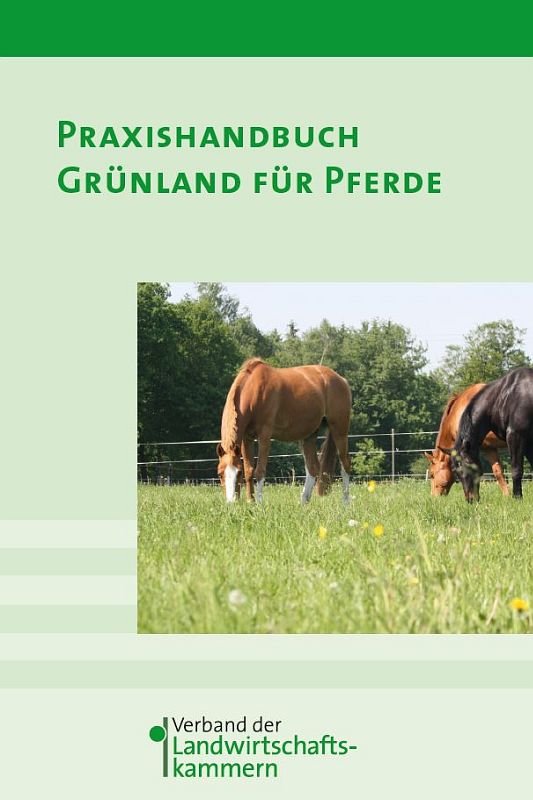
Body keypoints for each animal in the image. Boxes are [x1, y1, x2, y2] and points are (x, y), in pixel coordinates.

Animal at [216, 358, 352, 504]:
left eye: (238, 473)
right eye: (220, 473)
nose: (231, 502)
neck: (253, 390)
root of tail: (341, 379)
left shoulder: (264, 435)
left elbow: (259, 471)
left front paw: (259, 503)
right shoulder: (247, 438)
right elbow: (249, 471)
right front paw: (250, 501)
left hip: (339, 429)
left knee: (345, 464)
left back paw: (346, 502)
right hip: (310, 434)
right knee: (313, 467)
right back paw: (303, 501)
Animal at [440, 367, 533, 502]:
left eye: (468, 466)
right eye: (455, 472)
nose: (471, 499)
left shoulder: (516, 437)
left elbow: (516, 469)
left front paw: (517, 497)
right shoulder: (528, 441)